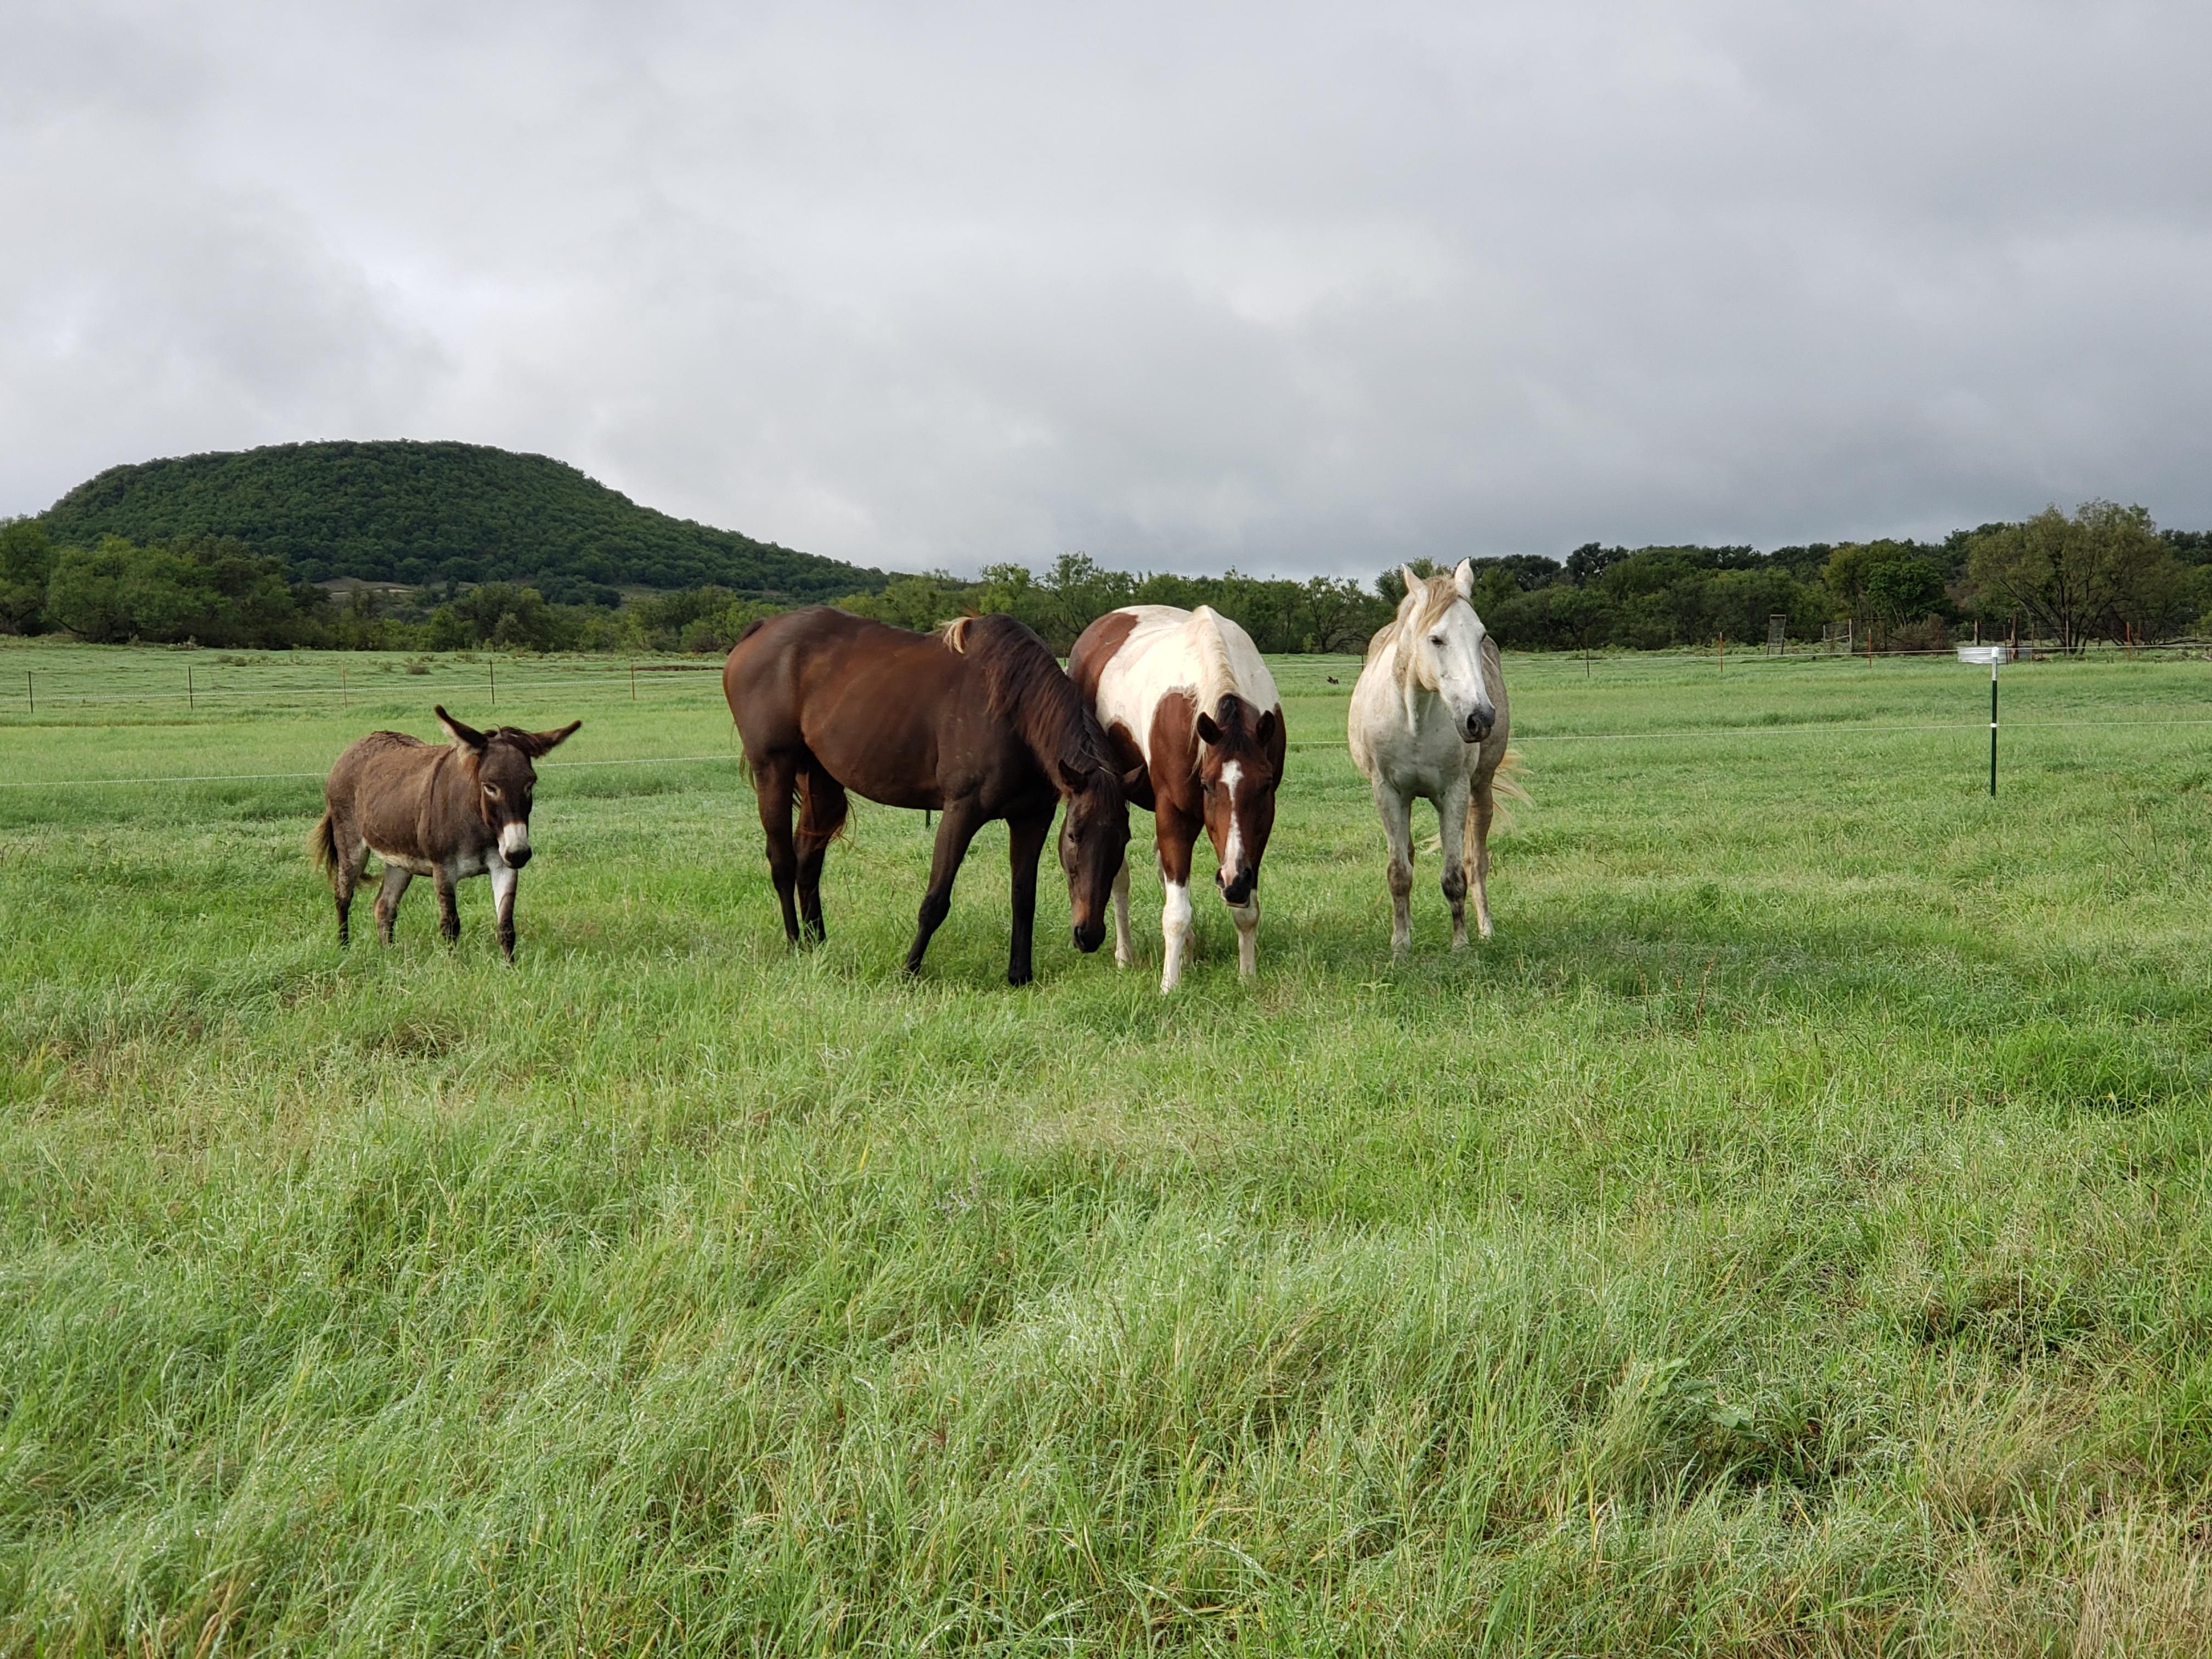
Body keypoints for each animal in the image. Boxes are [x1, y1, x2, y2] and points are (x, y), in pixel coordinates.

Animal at [311, 706, 581, 962]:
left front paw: (510, 969)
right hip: (351, 844)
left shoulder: (503, 866)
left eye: (530, 784)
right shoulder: (443, 869)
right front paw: (454, 968)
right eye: (490, 787)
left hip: (400, 859)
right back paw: (344, 950)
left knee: (384, 906)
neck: (478, 823)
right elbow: (450, 925)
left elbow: (506, 926)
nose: (519, 854)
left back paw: (390, 956)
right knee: (343, 896)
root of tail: (358, 743)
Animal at [722, 607, 1134, 986]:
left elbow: (1023, 896)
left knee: (809, 860)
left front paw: (1020, 974)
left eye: (1124, 840)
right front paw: (909, 970)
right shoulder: (962, 811)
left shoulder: (1032, 818)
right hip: (773, 769)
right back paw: (795, 942)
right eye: (1074, 835)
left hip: (821, 779)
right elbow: (936, 900)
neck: (1014, 709)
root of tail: (761, 630)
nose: (1089, 935)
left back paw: (817, 944)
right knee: (783, 861)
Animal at [1069, 605, 1285, 992]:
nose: (1233, 881)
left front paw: (1247, 978)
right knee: (1120, 876)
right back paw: (1126, 954)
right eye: (1207, 785)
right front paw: (1170, 986)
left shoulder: (1258, 831)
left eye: (1263, 786)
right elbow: (1176, 912)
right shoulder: (1173, 815)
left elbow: (1246, 912)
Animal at [1347, 562, 1517, 954]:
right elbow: (1399, 872)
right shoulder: (1388, 793)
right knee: (1408, 856)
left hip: (1481, 791)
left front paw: (1461, 944)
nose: (1481, 718)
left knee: (1477, 862)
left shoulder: (1454, 793)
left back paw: (1486, 929)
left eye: (1480, 636)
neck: (1416, 721)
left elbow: (1456, 875)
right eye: (1436, 639)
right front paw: (1400, 944)